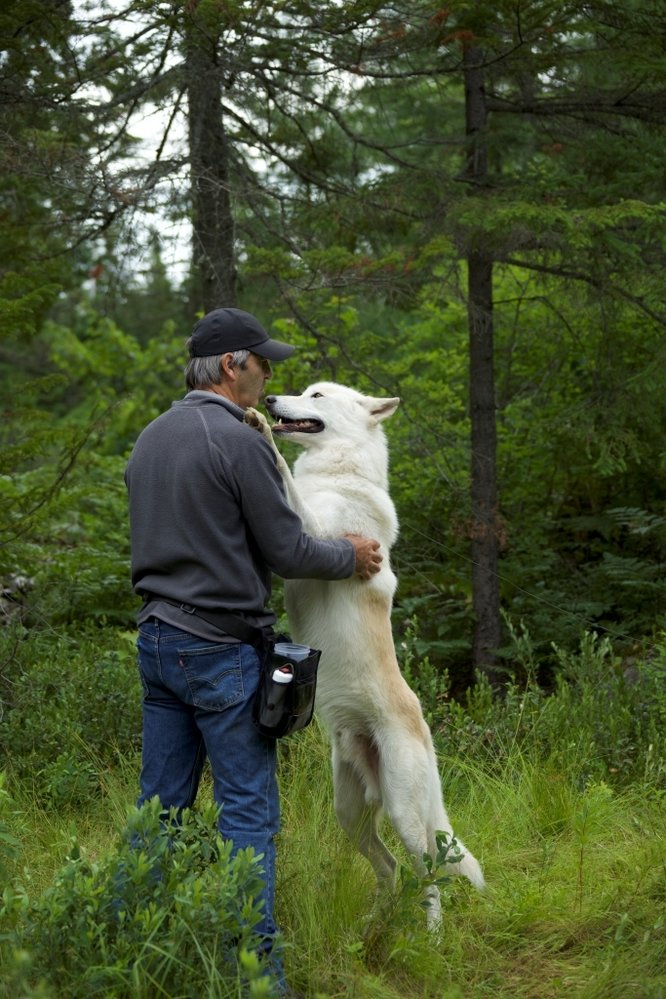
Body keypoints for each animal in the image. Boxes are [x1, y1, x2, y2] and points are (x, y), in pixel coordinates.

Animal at [244, 384, 482, 928]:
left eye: (315, 395)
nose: (270, 398)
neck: (341, 472)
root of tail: (425, 734)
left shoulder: (310, 533)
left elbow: (283, 476)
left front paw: (259, 430)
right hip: (349, 812)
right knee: (389, 866)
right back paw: (376, 921)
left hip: (403, 813)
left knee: (428, 873)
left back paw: (431, 937)